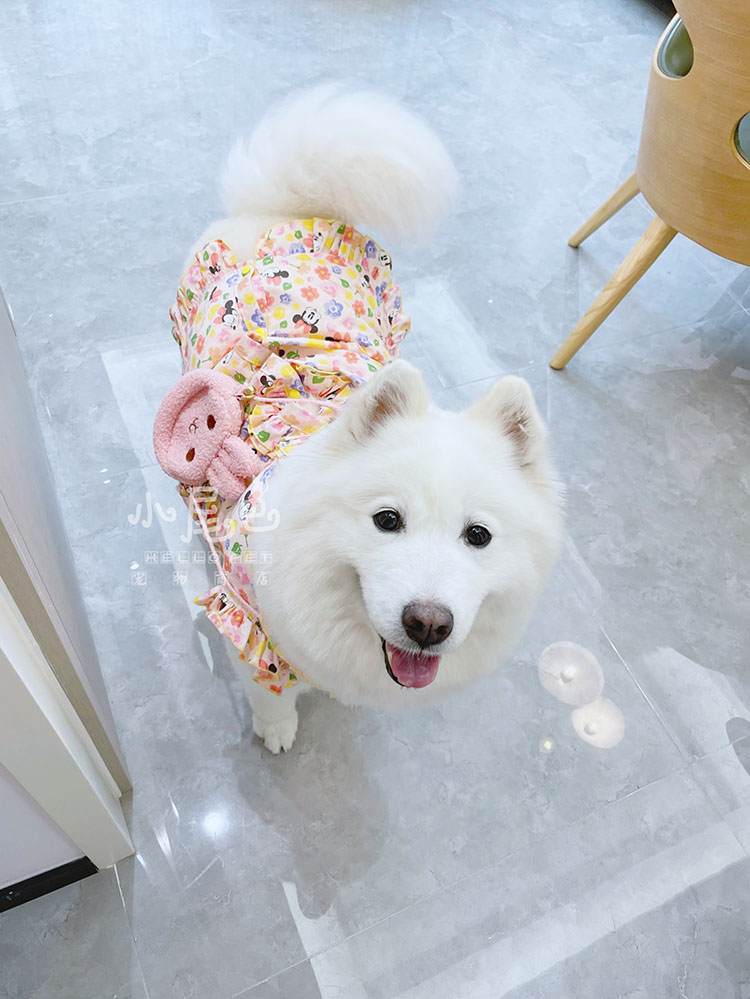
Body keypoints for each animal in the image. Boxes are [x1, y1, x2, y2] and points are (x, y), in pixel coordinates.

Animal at [175, 86, 563, 752]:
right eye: (387, 520)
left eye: (478, 536)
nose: (428, 623)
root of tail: (291, 211)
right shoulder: (248, 624)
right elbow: (267, 691)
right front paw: (277, 729)